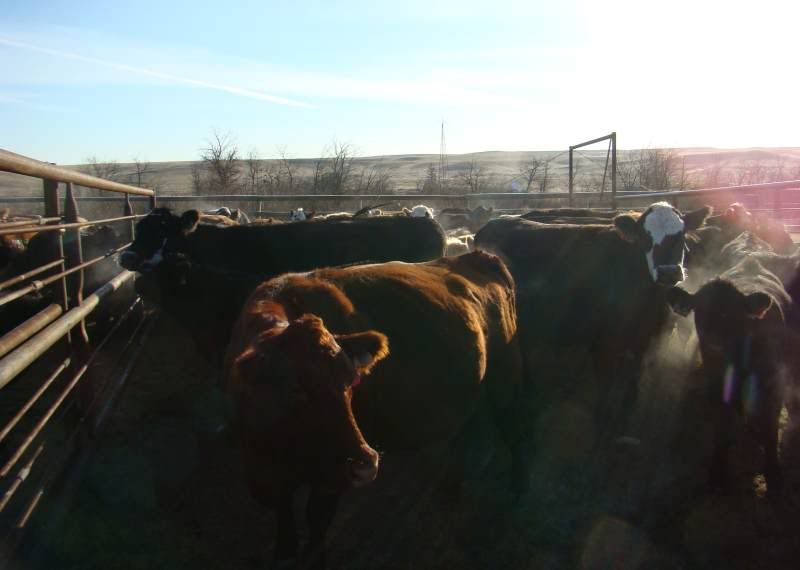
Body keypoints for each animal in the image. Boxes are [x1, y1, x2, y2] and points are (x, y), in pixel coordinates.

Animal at [224, 251, 527, 569]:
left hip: (506, 378)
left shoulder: (330, 478)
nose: (366, 463)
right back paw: (450, 488)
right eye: (295, 392)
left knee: (514, 431)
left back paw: (517, 492)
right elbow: (284, 520)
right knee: (464, 430)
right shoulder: (263, 472)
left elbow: (317, 521)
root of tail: (477, 256)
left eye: (351, 383)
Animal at [474, 201, 711, 435]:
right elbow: (604, 395)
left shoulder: (642, 341)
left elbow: (633, 388)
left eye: (681, 235)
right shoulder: (604, 344)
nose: (668, 272)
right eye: (646, 238)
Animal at [667, 258, 795, 497]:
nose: (712, 336)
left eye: (734, 312)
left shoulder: (772, 385)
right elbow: (722, 430)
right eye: (699, 308)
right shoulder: (715, 387)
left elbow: (770, 431)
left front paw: (774, 476)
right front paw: (717, 474)